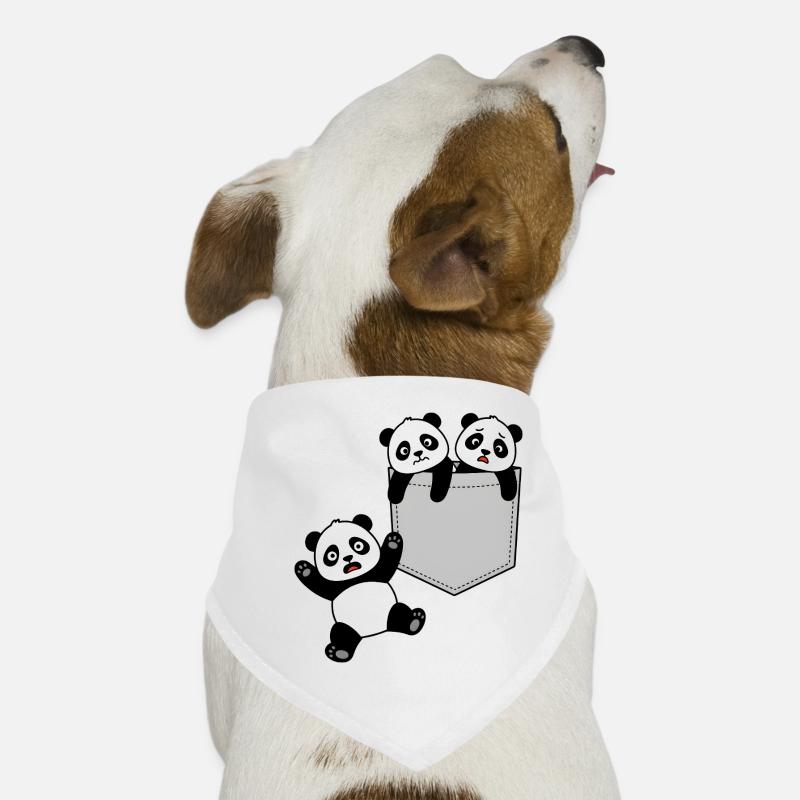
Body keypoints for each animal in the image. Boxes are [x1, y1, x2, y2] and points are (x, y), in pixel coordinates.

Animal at [294, 514, 426, 662]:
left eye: (358, 545)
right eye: (332, 555)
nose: (348, 558)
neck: (355, 578)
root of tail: (375, 631)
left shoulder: (377, 573)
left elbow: (386, 565)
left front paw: (393, 541)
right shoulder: (334, 587)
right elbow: (321, 586)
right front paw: (304, 569)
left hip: (392, 610)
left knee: (400, 612)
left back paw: (413, 621)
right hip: (345, 626)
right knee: (341, 633)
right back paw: (340, 652)